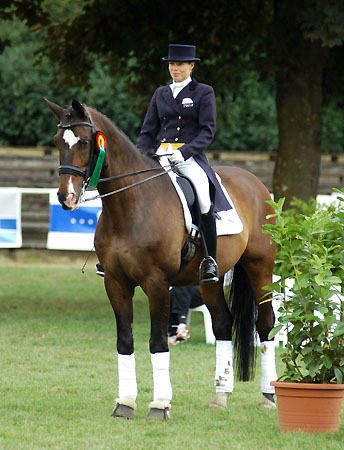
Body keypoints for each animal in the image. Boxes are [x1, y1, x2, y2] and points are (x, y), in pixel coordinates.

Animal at [45, 97, 276, 418]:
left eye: (84, 142)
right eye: (58, 141)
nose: (65, 197)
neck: (130, 206)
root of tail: (254, 181)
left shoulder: (157, 284)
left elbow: (157, 342)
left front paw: (160, 405)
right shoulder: (115, 283)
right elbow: (125, 340)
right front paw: (125, 403)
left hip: (260, 268)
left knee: (266, 324)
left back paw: (268, 395)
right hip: (210, 280)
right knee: (222, 324)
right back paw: (220, 396)